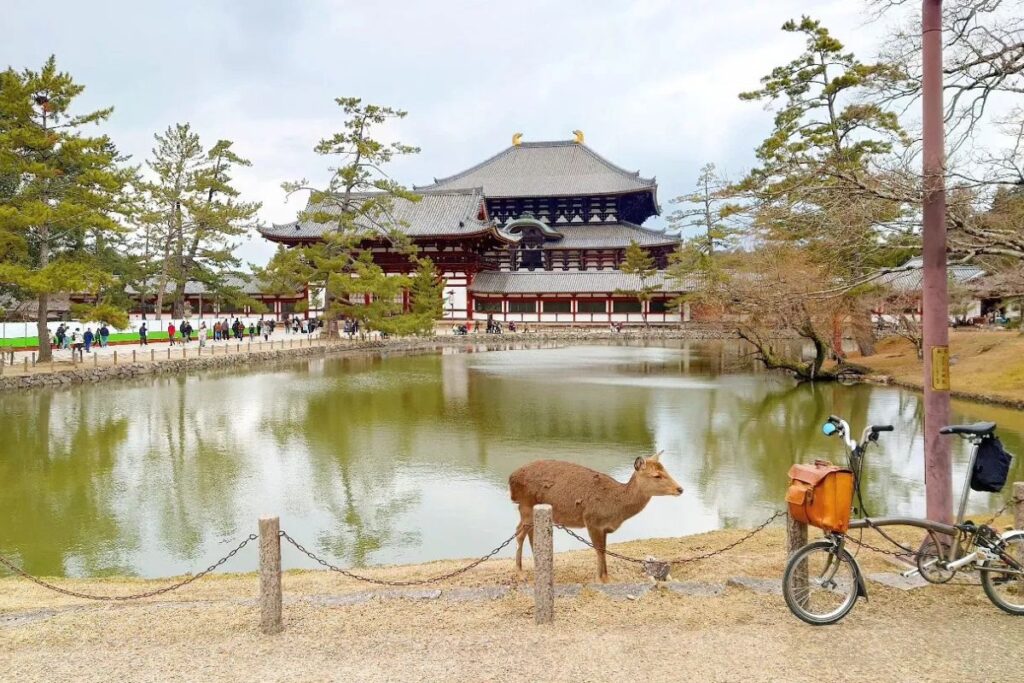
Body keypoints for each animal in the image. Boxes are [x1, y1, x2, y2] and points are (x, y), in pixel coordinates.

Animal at [508, 452, 683, 583]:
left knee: (527, 532)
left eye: (666, 470)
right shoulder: (592, 520)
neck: (617, 508)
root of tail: (511, 480)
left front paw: (605, 577)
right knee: (519, 533)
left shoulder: (604, 527)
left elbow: (604, 549)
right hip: (526, 506)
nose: (680, 489)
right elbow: (599, 550)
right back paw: (521, 573)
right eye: (657, 475)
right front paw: (602, 579)